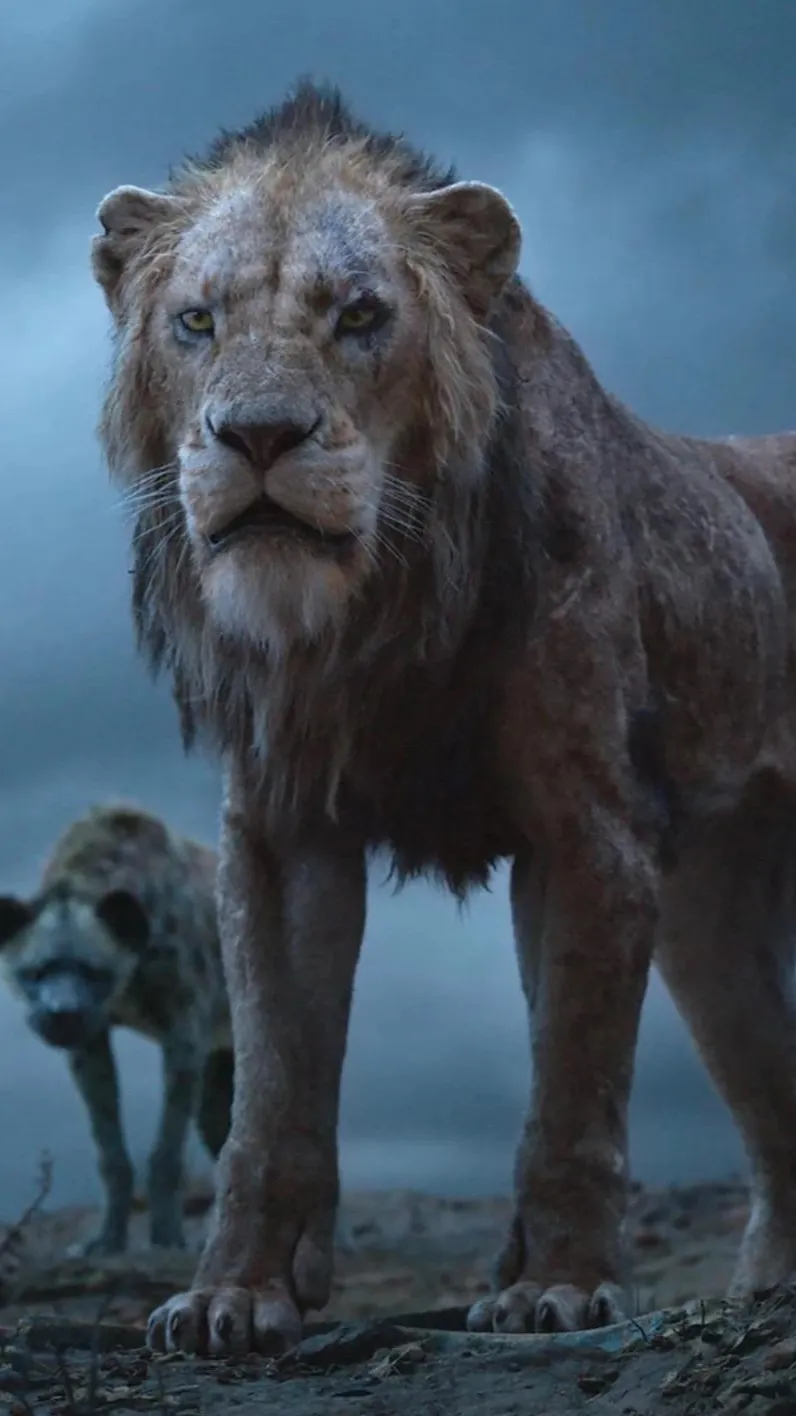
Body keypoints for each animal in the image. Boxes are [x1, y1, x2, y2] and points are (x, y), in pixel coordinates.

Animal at [91, 79, 796, 1356]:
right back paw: (764, 1288)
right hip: (709, 922)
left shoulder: (589, 831)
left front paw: (558, 1287)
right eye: (197, 321)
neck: (370, 613)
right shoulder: (279, 834)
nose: (258, 435)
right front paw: (233, 1296)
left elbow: (571, 1086)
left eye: (361, 315)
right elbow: (270, 1096)